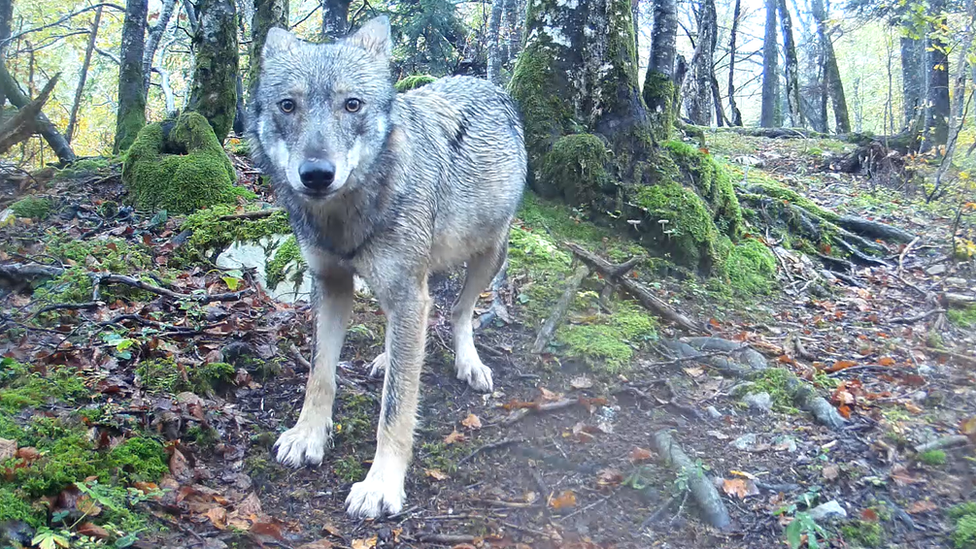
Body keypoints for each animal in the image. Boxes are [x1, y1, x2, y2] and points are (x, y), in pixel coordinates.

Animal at [248, 15, 528, 516]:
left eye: (352, 105)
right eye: (288, 105)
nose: (316, 174)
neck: (346, 216)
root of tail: (487, 83)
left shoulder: (406, 293)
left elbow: (396, 406)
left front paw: (381, 484)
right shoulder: (331, 285)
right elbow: (320, 375)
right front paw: (308, 436)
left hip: (487, 256)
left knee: (458, 313)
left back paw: (469, 363)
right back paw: (385, 356)